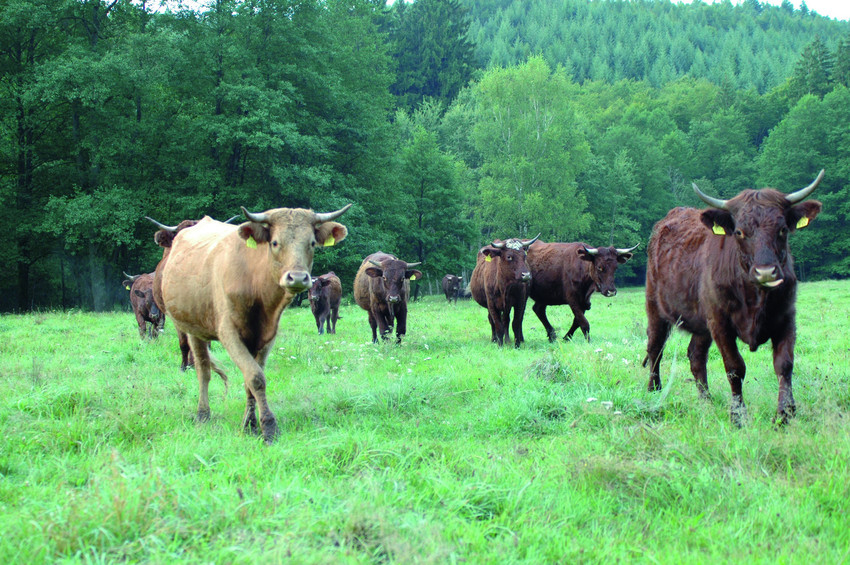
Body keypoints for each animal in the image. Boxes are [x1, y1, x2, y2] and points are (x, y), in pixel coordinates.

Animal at [159, 203, 348, 440]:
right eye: (275, 242)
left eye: (312, 243)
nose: (297, 278)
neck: (254, 282)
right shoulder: (229, 333)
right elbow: (256, 377)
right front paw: (268, 427)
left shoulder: (267, 336)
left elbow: (250, 379)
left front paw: (249, 425)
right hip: (193, 328)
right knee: (203, 370)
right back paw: (202, 414)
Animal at [644, 170, 820, 426]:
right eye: (739, 232)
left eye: (782, 229)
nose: (766, 272)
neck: (755, 297)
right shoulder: (720, 323)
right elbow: (735, 367)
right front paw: (738, 416)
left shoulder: (787, 318)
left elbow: (784, 365)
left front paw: (784, 415)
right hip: (655, 307)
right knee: (655, 348)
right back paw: (654, 391)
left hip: (702, 324)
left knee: (696, 356)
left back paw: (706, 401)